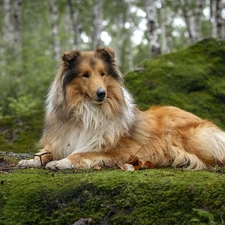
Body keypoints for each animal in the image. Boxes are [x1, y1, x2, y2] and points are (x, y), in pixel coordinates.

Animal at [18, 48, 225, 171]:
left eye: (102, 74)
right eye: (85, 75)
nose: (101, 93)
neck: (88, 111)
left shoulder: (118, 152)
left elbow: (79, 153)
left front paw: (59, 162)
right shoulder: (62, 141)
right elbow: (43, 153)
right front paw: (30, 161)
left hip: (193, 138)